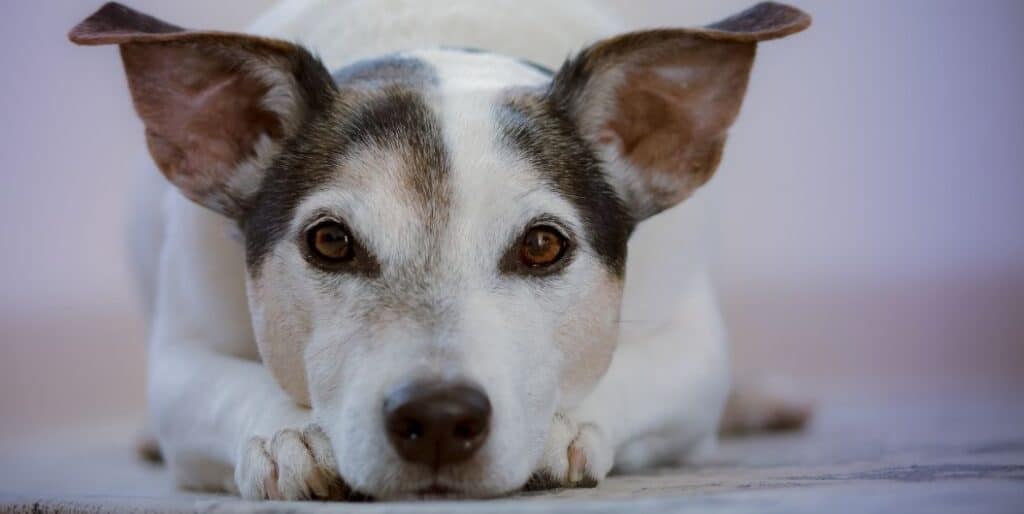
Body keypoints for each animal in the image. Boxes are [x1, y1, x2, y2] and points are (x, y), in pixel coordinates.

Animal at [68, 0, 811, 499]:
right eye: (329, 241)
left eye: (543, 245)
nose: (440, 417)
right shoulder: (181, 355)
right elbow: (222, 385)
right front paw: (290, 435)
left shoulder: (693, 346)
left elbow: (636, 373)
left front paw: (561, 427)